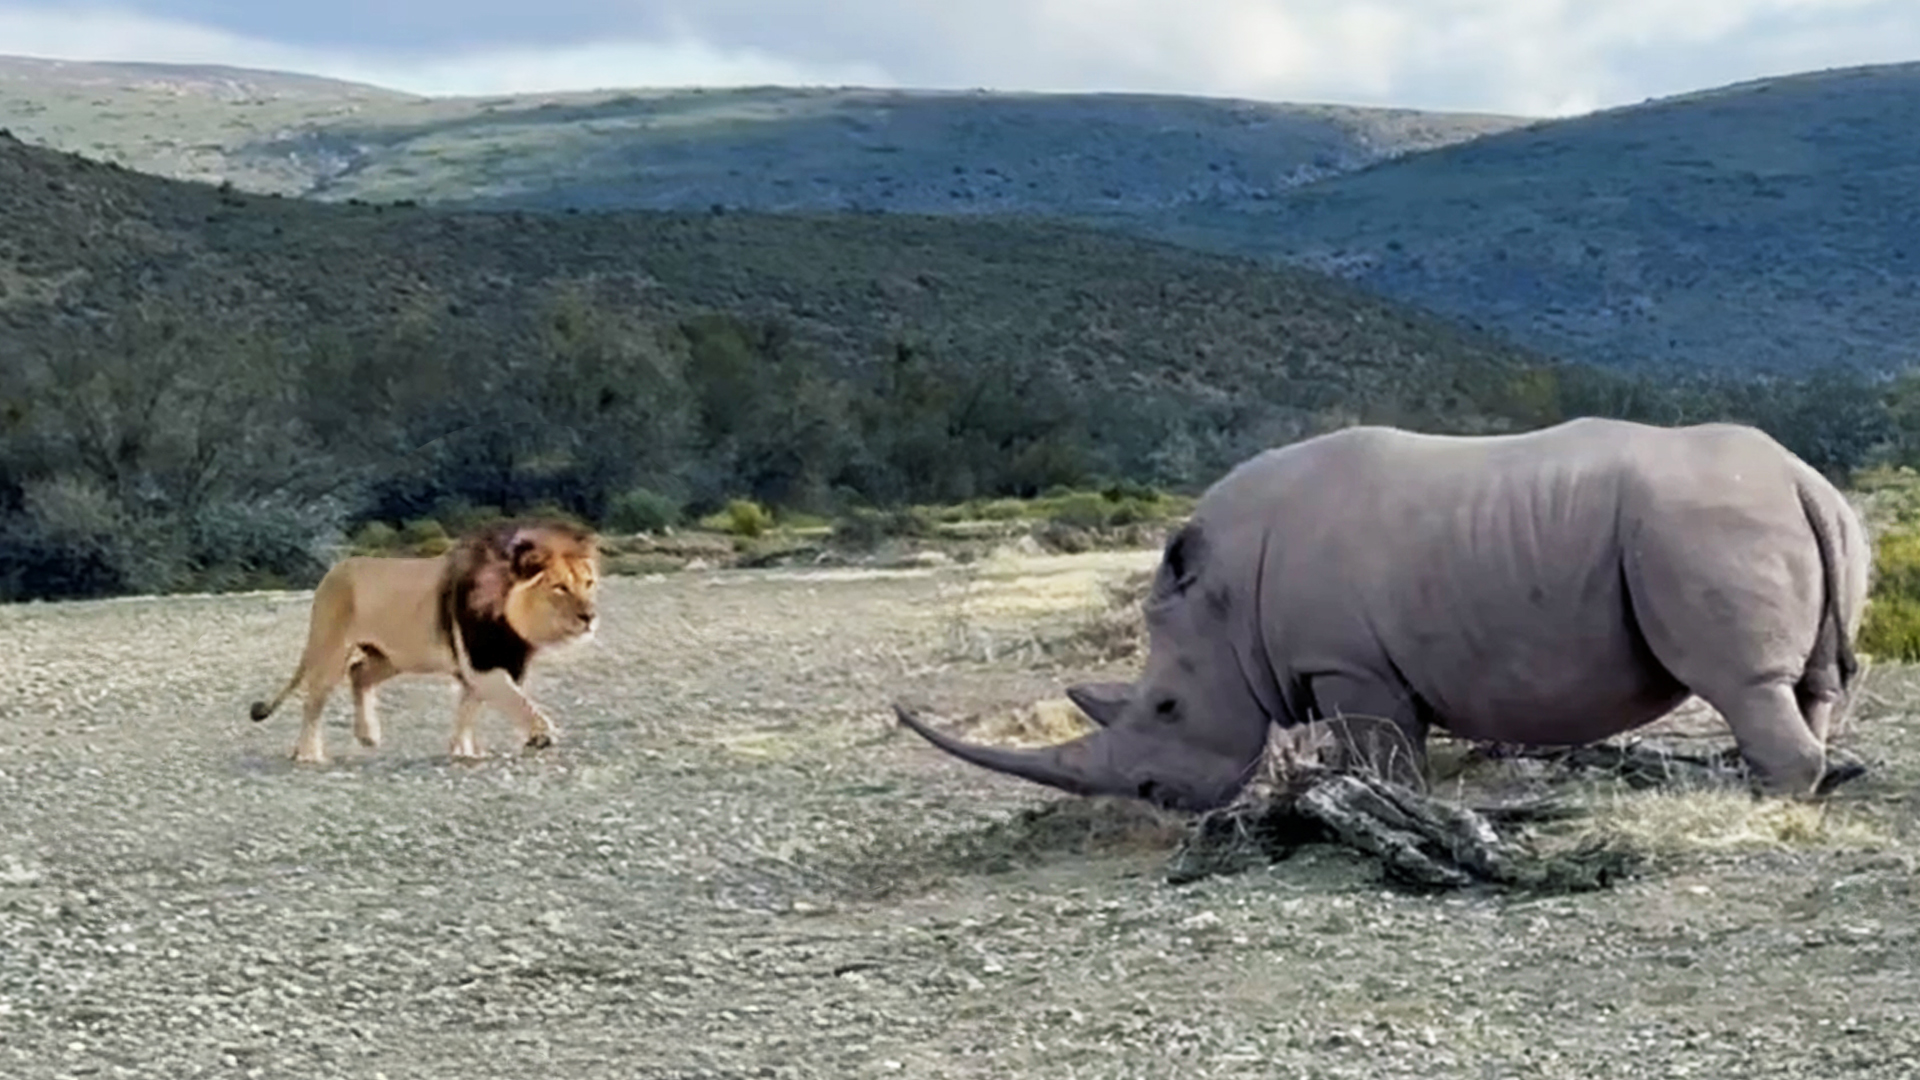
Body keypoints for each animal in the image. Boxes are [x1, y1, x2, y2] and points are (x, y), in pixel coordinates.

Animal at [245, 518, 599, 760]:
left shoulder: (500, 666)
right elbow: (519, 702)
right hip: (331, 648)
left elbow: (469, 709)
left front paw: (462, 751)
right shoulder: (482, 666)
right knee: (314, 700)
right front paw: (541, 735)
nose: (590, 616)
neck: (516, 621)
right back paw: (309, 755)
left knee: (359, 673)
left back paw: (368, 736)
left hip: (392, 657)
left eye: (588, 583)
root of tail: (331, 573)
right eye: (559, 587)